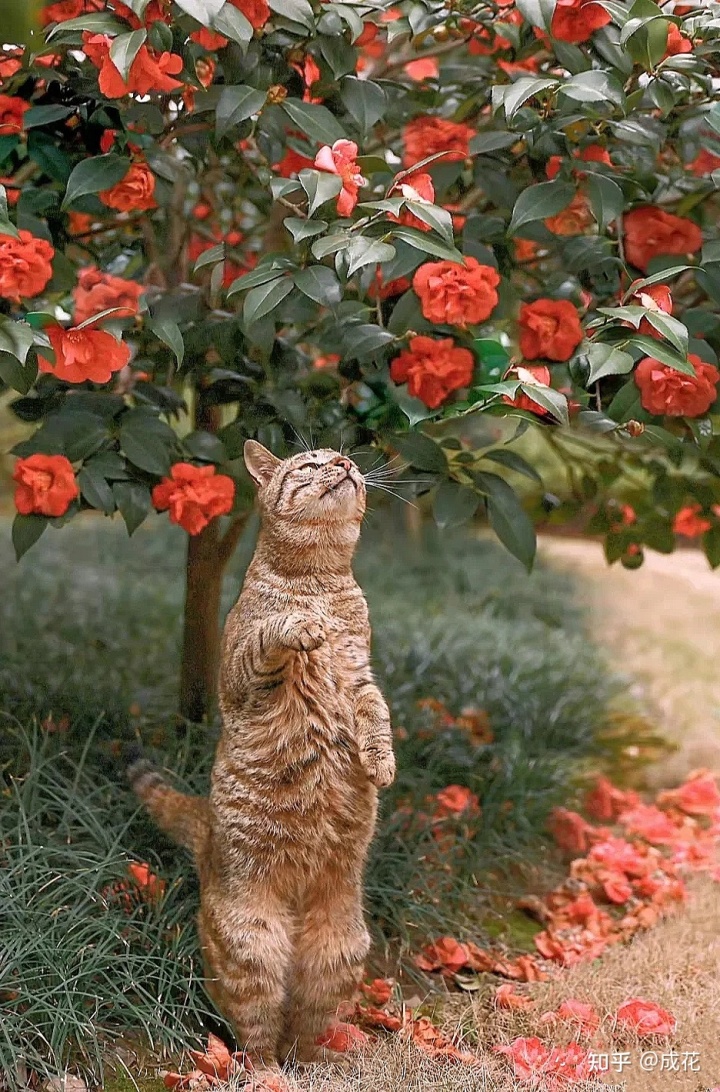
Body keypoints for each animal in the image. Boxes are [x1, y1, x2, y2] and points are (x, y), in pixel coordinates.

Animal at [132, 441, 397, 1074]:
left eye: (347, 460)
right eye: (310, 463)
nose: (345, 464)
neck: (319, 580)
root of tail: (205, 832)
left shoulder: (362, 677)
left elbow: (376, 718)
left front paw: (382, 763)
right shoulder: (243, 671)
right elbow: (272, 633)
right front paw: (299, 625)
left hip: (338, 956)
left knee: (302, 1030)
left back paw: (321, 1066)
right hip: (252, 948)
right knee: (257, 1036)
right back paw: (270, 1075)